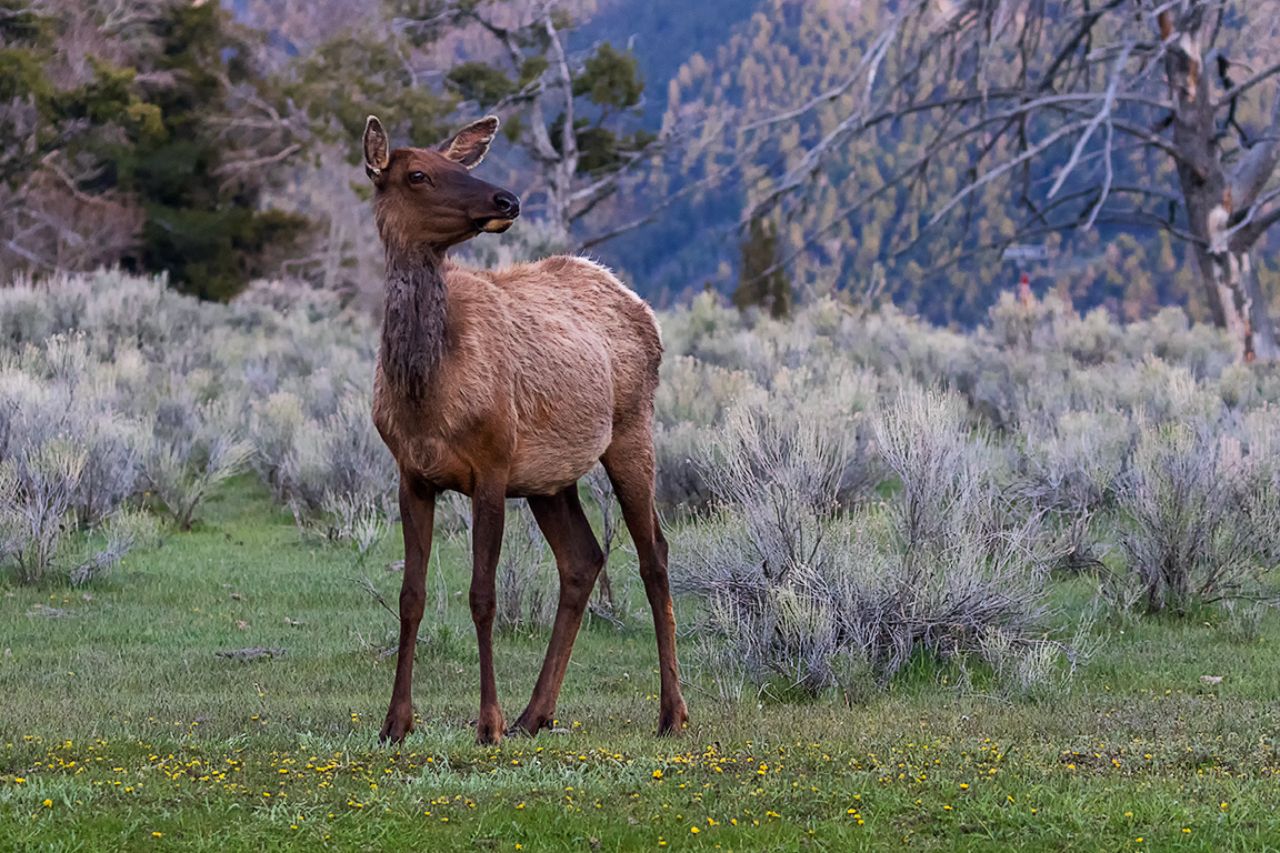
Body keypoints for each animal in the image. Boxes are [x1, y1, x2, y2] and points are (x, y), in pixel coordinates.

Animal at [361, 114, 689, 745]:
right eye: (417, 174)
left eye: (460, 164)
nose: (506, 199)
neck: (424, 395)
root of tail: (639, 302)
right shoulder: (411, 474)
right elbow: (411, 595)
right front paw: (395, 723)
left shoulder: (491, 463)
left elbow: (482, 596)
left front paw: (486, 722)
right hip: (549, 477)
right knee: (583, 559)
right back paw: (535, 713)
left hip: (632, 428)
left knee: (654, 554)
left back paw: (672, 712)